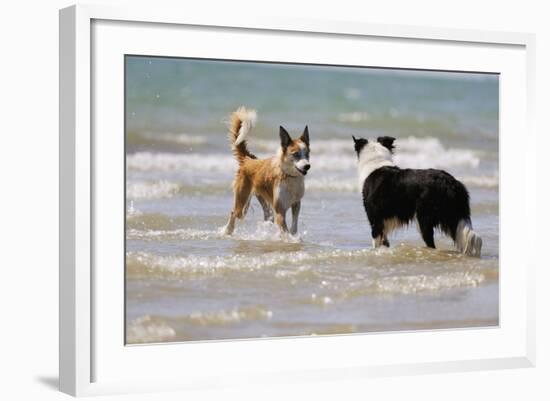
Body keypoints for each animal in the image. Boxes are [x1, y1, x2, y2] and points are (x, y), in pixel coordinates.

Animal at [224, 108, 310, 236]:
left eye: (307, 154)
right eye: (296, 154)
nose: (307, 166)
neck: (290, 176)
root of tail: (248, 160)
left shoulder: (296, 204)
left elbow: (294, 226)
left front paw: (293, 236)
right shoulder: (279, 210)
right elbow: (285, 230)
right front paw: (290, 238)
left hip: (263, 202)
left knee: (267, 215)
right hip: (243, 201)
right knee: (234, 212)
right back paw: (227, 231)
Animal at [354, 135, 484, 256]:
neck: (376, 160)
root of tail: (451, 182)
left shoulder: (375, 220)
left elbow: (376, 242)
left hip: (424, 218)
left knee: (431, 243)